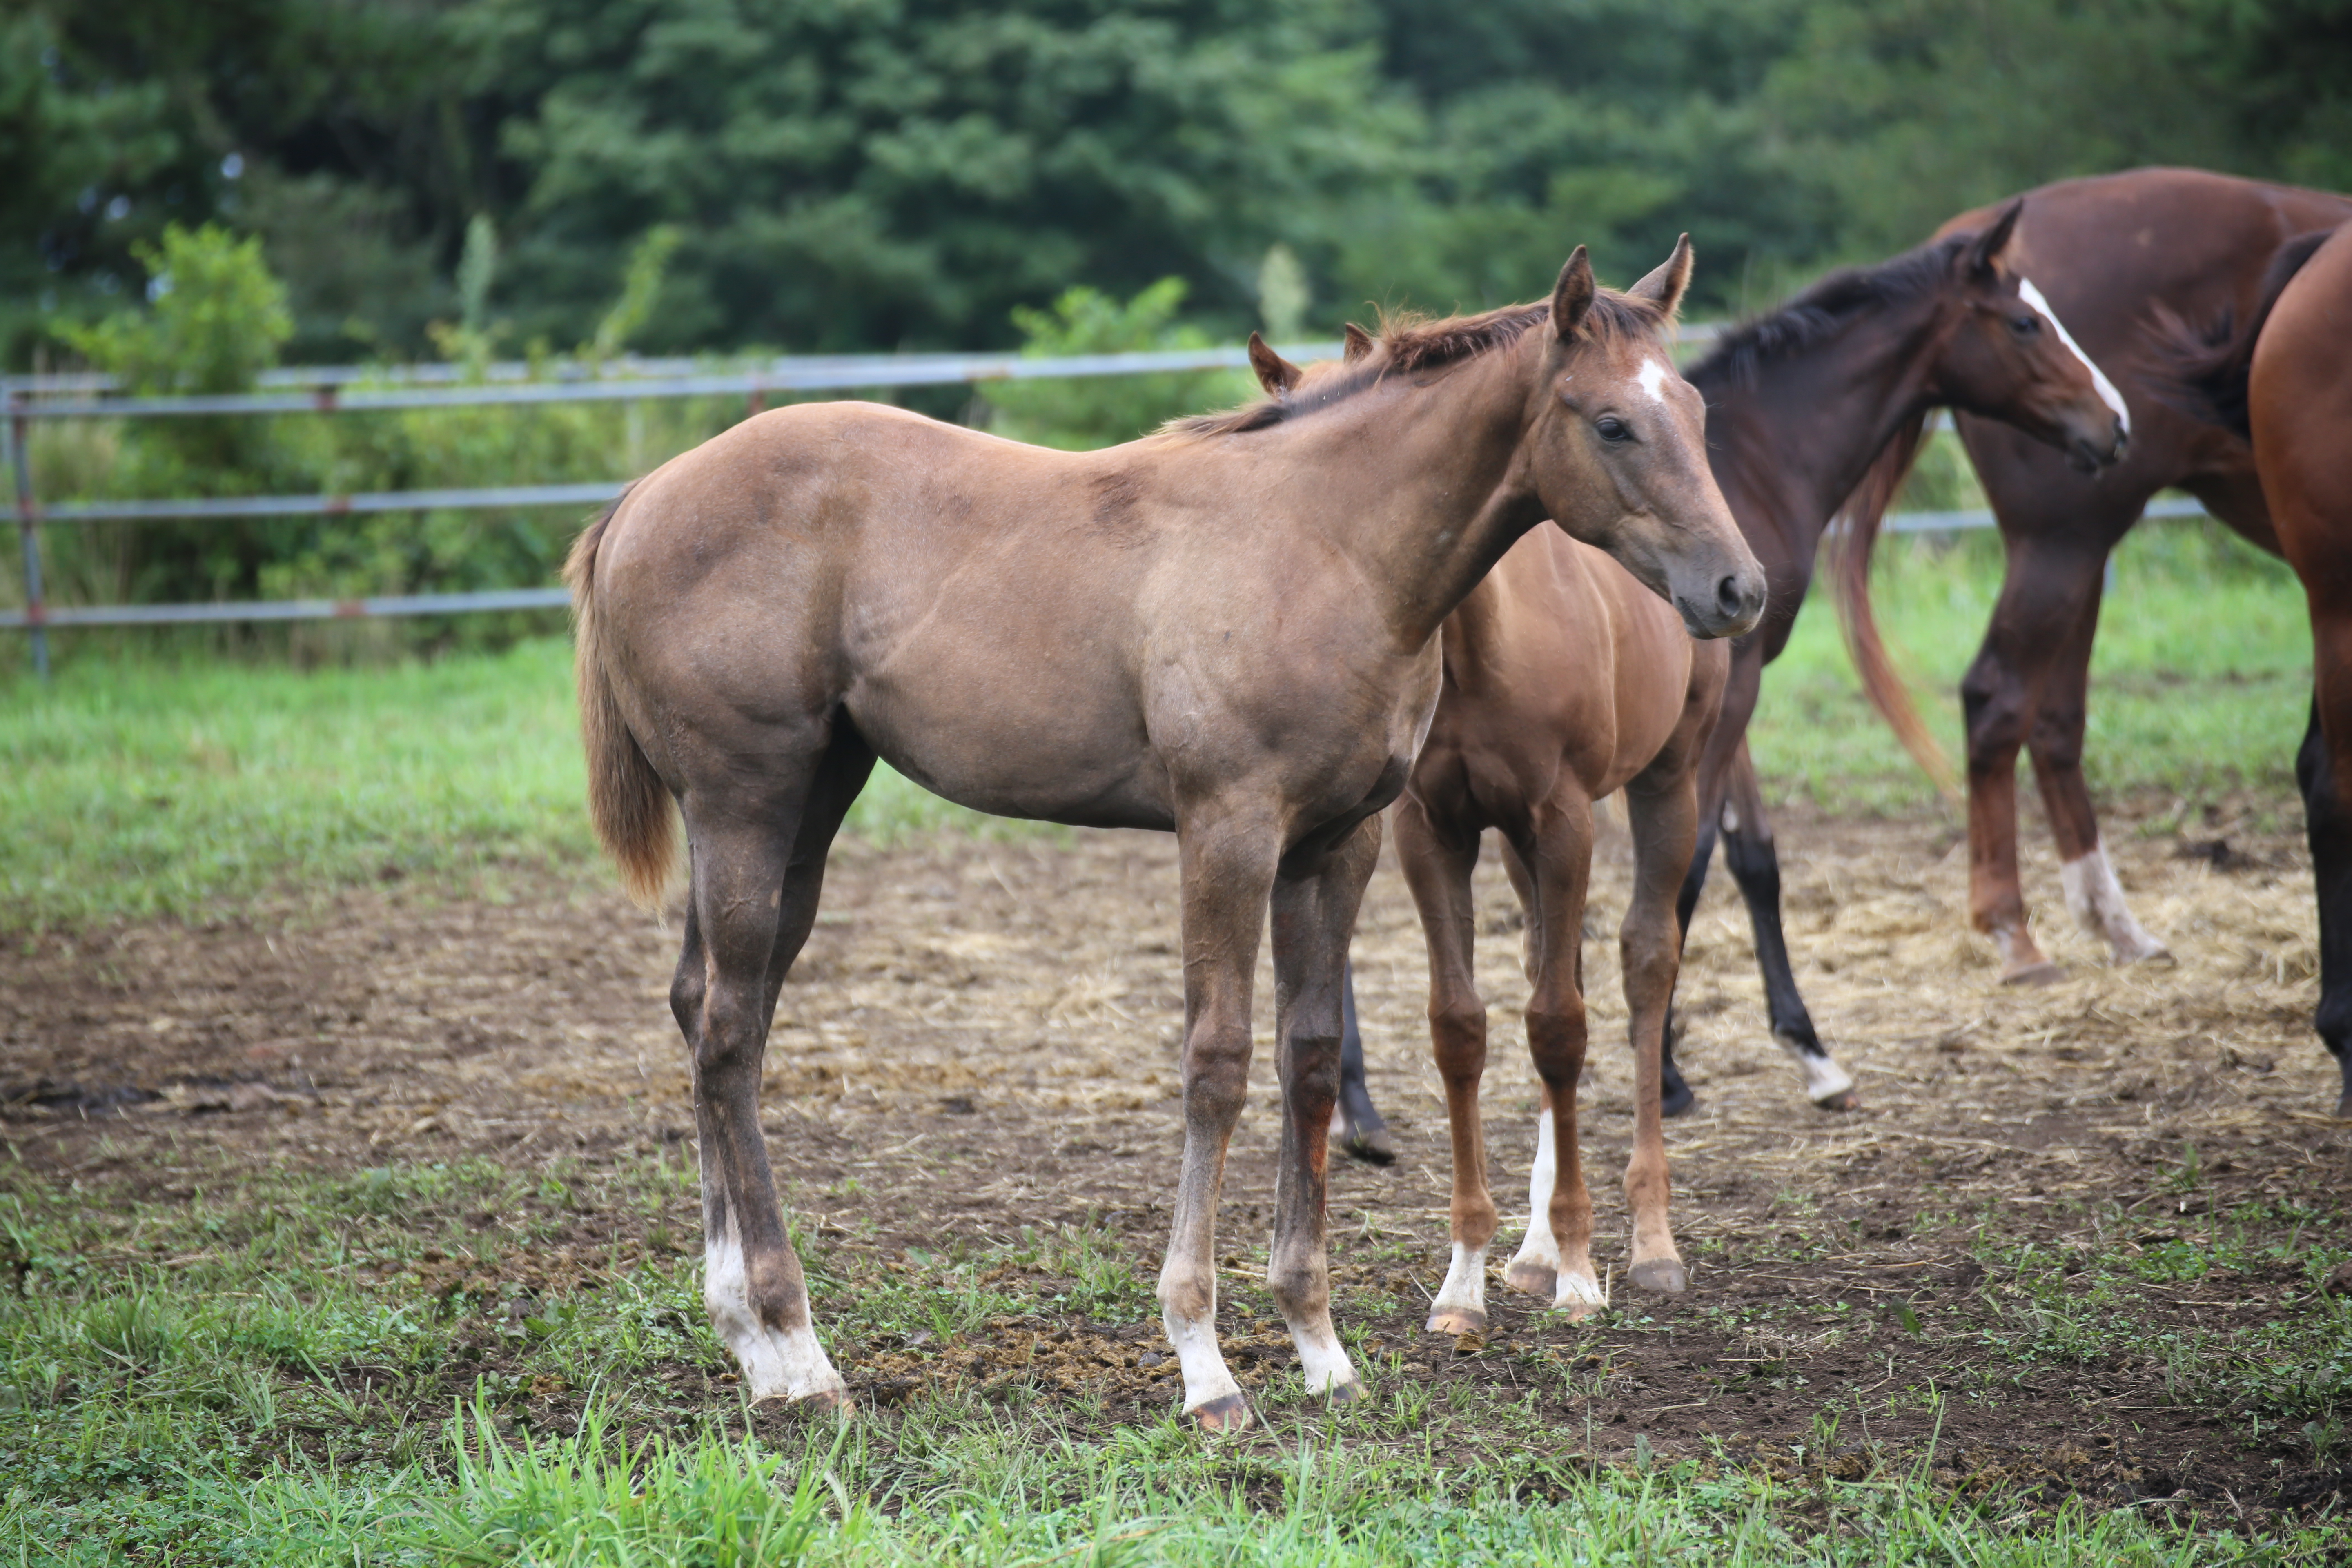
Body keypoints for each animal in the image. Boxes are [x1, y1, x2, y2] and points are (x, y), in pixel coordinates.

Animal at [559, 242, 1759, 1439]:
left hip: (809, 803)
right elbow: (1217, 1063)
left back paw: (748, 1341)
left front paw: (1318, 1345)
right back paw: (798, 1350)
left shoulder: (1339, 843)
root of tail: (641, 499)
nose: (1736, 588)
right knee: (726, 1034)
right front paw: (1203, 1361)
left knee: (716, 1014)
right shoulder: (1226, 828)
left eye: (1697, 408)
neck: (1326, 543)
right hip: (744, 803)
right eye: (1611, 422)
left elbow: (1308, 1059)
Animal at [1336, 205, 2145, 1142]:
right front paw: (1669, 1068)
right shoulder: (1735, 689)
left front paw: (1809, 1052)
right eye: (2024, 323)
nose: (2114, 425)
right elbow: (1692, 870)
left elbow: (1755, 857)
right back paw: (1355, 1108)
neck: (1760, 463)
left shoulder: (1733, 679)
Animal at [1834, 172, 2352, 987]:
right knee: (2000, 696)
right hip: (2065, 541)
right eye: (2025, 326)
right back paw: (2014, 930)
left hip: (2081, 550)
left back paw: (2114, 925)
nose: (2113, 421)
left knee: (2052, 719)